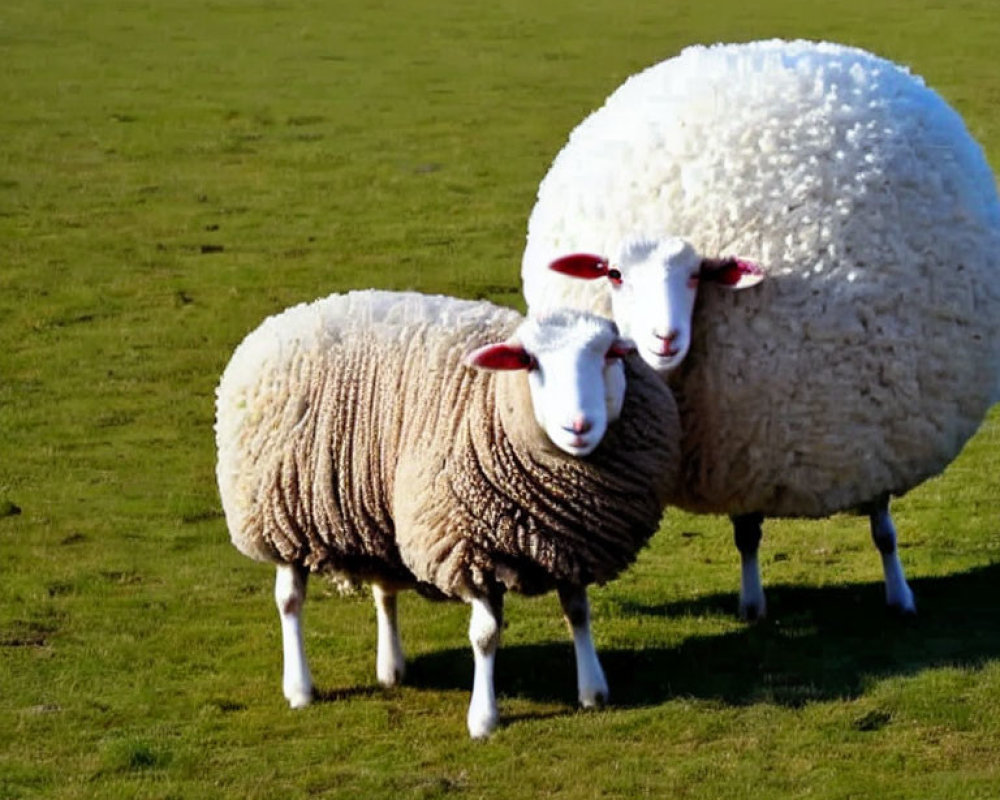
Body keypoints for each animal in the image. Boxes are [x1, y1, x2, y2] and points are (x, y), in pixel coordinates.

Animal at [217, 288, 680, 736]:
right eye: (529, 362)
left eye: (609, 354)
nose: (579, 426)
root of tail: (287, 316)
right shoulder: (473, 548)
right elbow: (486, 637)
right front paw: (484, 718)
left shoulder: (570, 544)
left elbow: (578, 613)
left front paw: (593, 691)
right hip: (281, 517)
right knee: (290, 601)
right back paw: (299, 688)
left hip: (378, 518)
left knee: (384, 591)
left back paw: (391, 669)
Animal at [520, 39, 1000, 620]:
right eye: (613, 274)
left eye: (697, 275)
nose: (662, 340)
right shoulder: (740, 461)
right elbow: (746, 535)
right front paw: (751, 604)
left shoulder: (863, 443)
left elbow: (882, 529)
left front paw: (900, 594)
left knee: (880, 523)